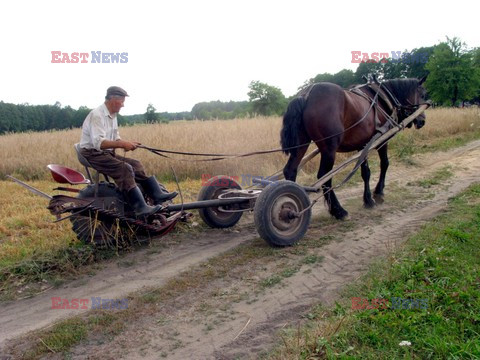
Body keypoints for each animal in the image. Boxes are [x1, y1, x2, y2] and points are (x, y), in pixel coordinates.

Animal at [282, 77, 428, 219]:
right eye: (422, 94)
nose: (422, 121)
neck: (383, 98)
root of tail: (306, 95)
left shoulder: (363, 145)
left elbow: (366, 172)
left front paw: (368, 200)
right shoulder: (382, 140)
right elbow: (385, 164)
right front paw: (378, 193)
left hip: (301, 144)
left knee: (291, 170)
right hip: (329, 149)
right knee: (324, 177)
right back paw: (338, 211)